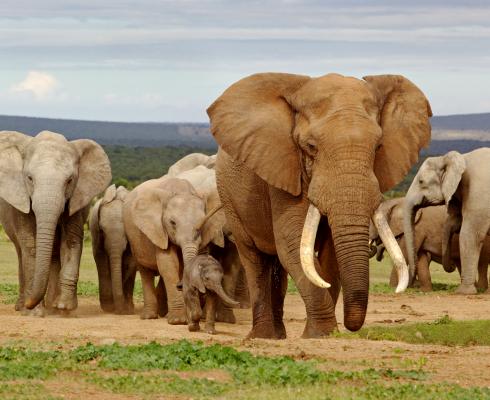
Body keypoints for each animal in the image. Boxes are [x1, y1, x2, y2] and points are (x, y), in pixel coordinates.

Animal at [0, 130, 110, 314]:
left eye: (69, 180)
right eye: (29, 178)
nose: (30, 303)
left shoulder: (76, 199)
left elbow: (71, 241)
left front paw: (65, 308)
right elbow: (31, 245)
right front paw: (34, 313)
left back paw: (52, 307)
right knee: (21, 251)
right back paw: (22, 307)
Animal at [89, 184, 136, 312]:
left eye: (126, 230)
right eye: (102, 230)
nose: (120, 311)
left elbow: (129, 263)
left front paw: (126, 309)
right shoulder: (96, 233)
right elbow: (102, 262)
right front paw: (109, 308)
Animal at [209, 72, 430, 338]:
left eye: (378, 147)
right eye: (311, 147)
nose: (350, 326)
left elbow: (330, 252)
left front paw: (323, 334)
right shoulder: (283, 169)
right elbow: (292, 242)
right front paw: (322, 334)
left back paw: (279, 335)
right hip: (229, 198)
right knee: (254, 259)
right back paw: (263, 336)